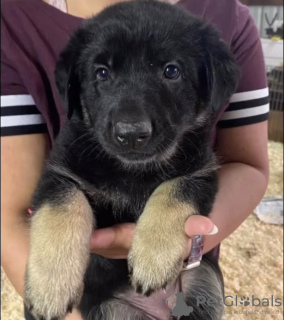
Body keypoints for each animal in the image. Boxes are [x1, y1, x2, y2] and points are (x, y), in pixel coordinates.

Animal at [24, 1, 239, 318]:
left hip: (203, 280)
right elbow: (61, 210)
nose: (131, 134)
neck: (131, 170)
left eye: (171, 71)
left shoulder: (202, 172)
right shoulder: (59, 173)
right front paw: (50, 287)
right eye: (102, 73)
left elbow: (172, 191)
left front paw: (153, 256)